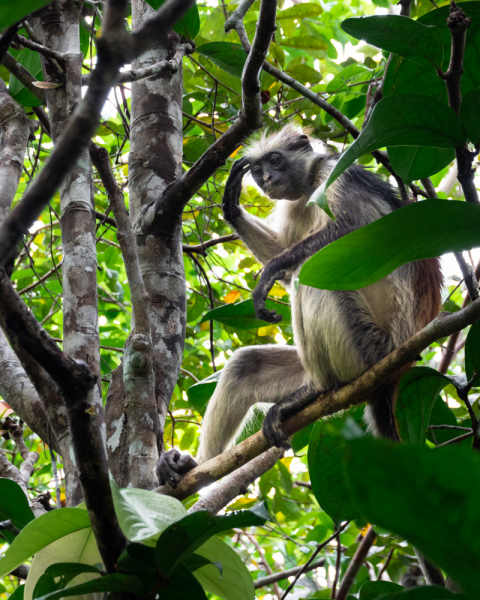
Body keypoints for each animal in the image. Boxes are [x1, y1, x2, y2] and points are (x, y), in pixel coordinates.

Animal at [158, 125, 442, 488]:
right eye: (257, 170)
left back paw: (317, 391)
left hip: (369, 350)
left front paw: (269, 272)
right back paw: (196, 468)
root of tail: (397, 368)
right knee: (245, 366)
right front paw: (230, 203)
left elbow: (350, 232)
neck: (308, 186)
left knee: (310, 274)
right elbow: (285, 252)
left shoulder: (337, 172)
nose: (266, 178)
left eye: (276, 161)